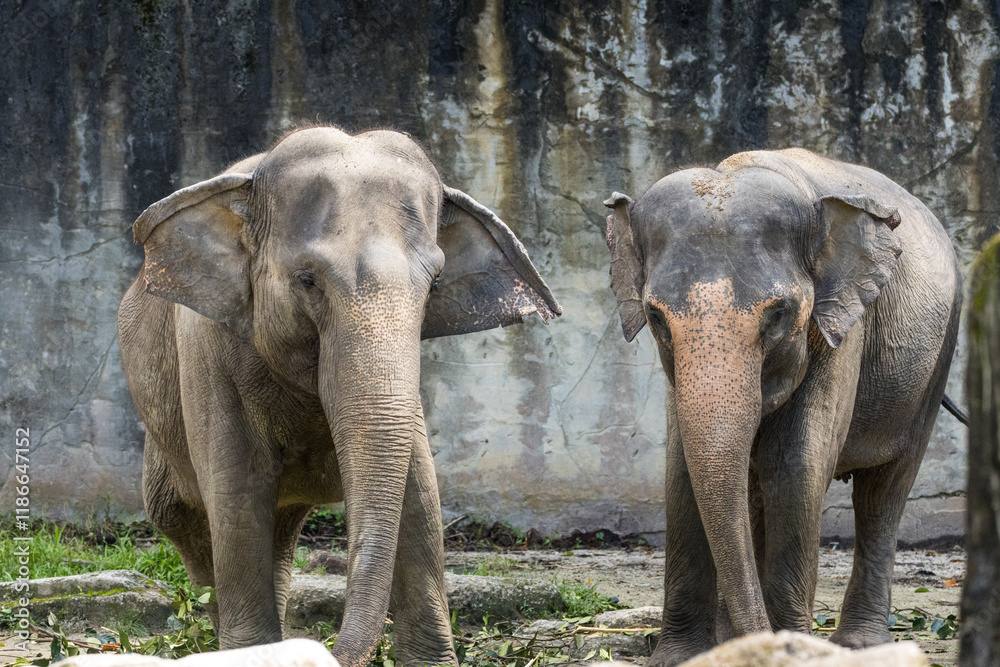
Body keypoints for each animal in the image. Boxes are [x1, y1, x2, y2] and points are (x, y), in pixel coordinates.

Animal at [117, 127, 561, 667]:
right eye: (308, 280)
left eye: (434, 283)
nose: (330, 651)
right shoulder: (206, 349)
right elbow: (238, 490)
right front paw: (253, 649)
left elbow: (419, 494)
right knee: (186, 521)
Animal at [603, 148, 962, 665]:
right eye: (655, 317)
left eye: (778, 314)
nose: (764, 639)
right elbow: (682, 470)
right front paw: (683, 657)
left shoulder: (840, 331)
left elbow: (796, 466)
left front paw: (788, 646)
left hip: (936, 361)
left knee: (884, 491)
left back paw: (859, 645)